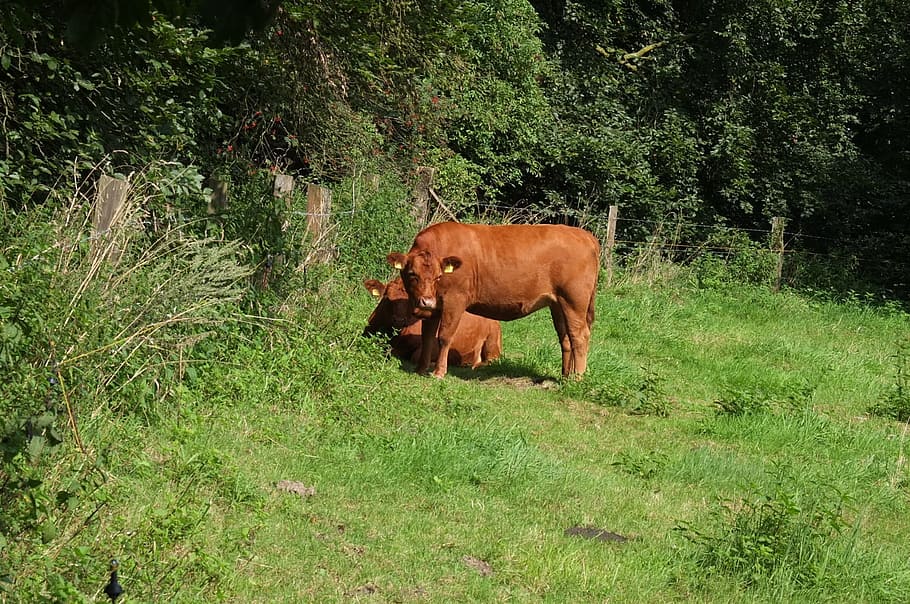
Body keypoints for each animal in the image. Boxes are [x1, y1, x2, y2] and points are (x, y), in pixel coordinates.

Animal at [388, 222, 599, 379]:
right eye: (412, 274)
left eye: (439, 276)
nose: (426, 302)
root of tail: (584, 235)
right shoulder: (435, 308)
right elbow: (428, 337)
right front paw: (420, 369)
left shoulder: (454, 300)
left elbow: (444, 336)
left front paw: (439, 372)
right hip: (558, 304)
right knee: (566, 338)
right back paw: (565, 376)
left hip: (574, 301)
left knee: (580, 336)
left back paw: (577, 378)